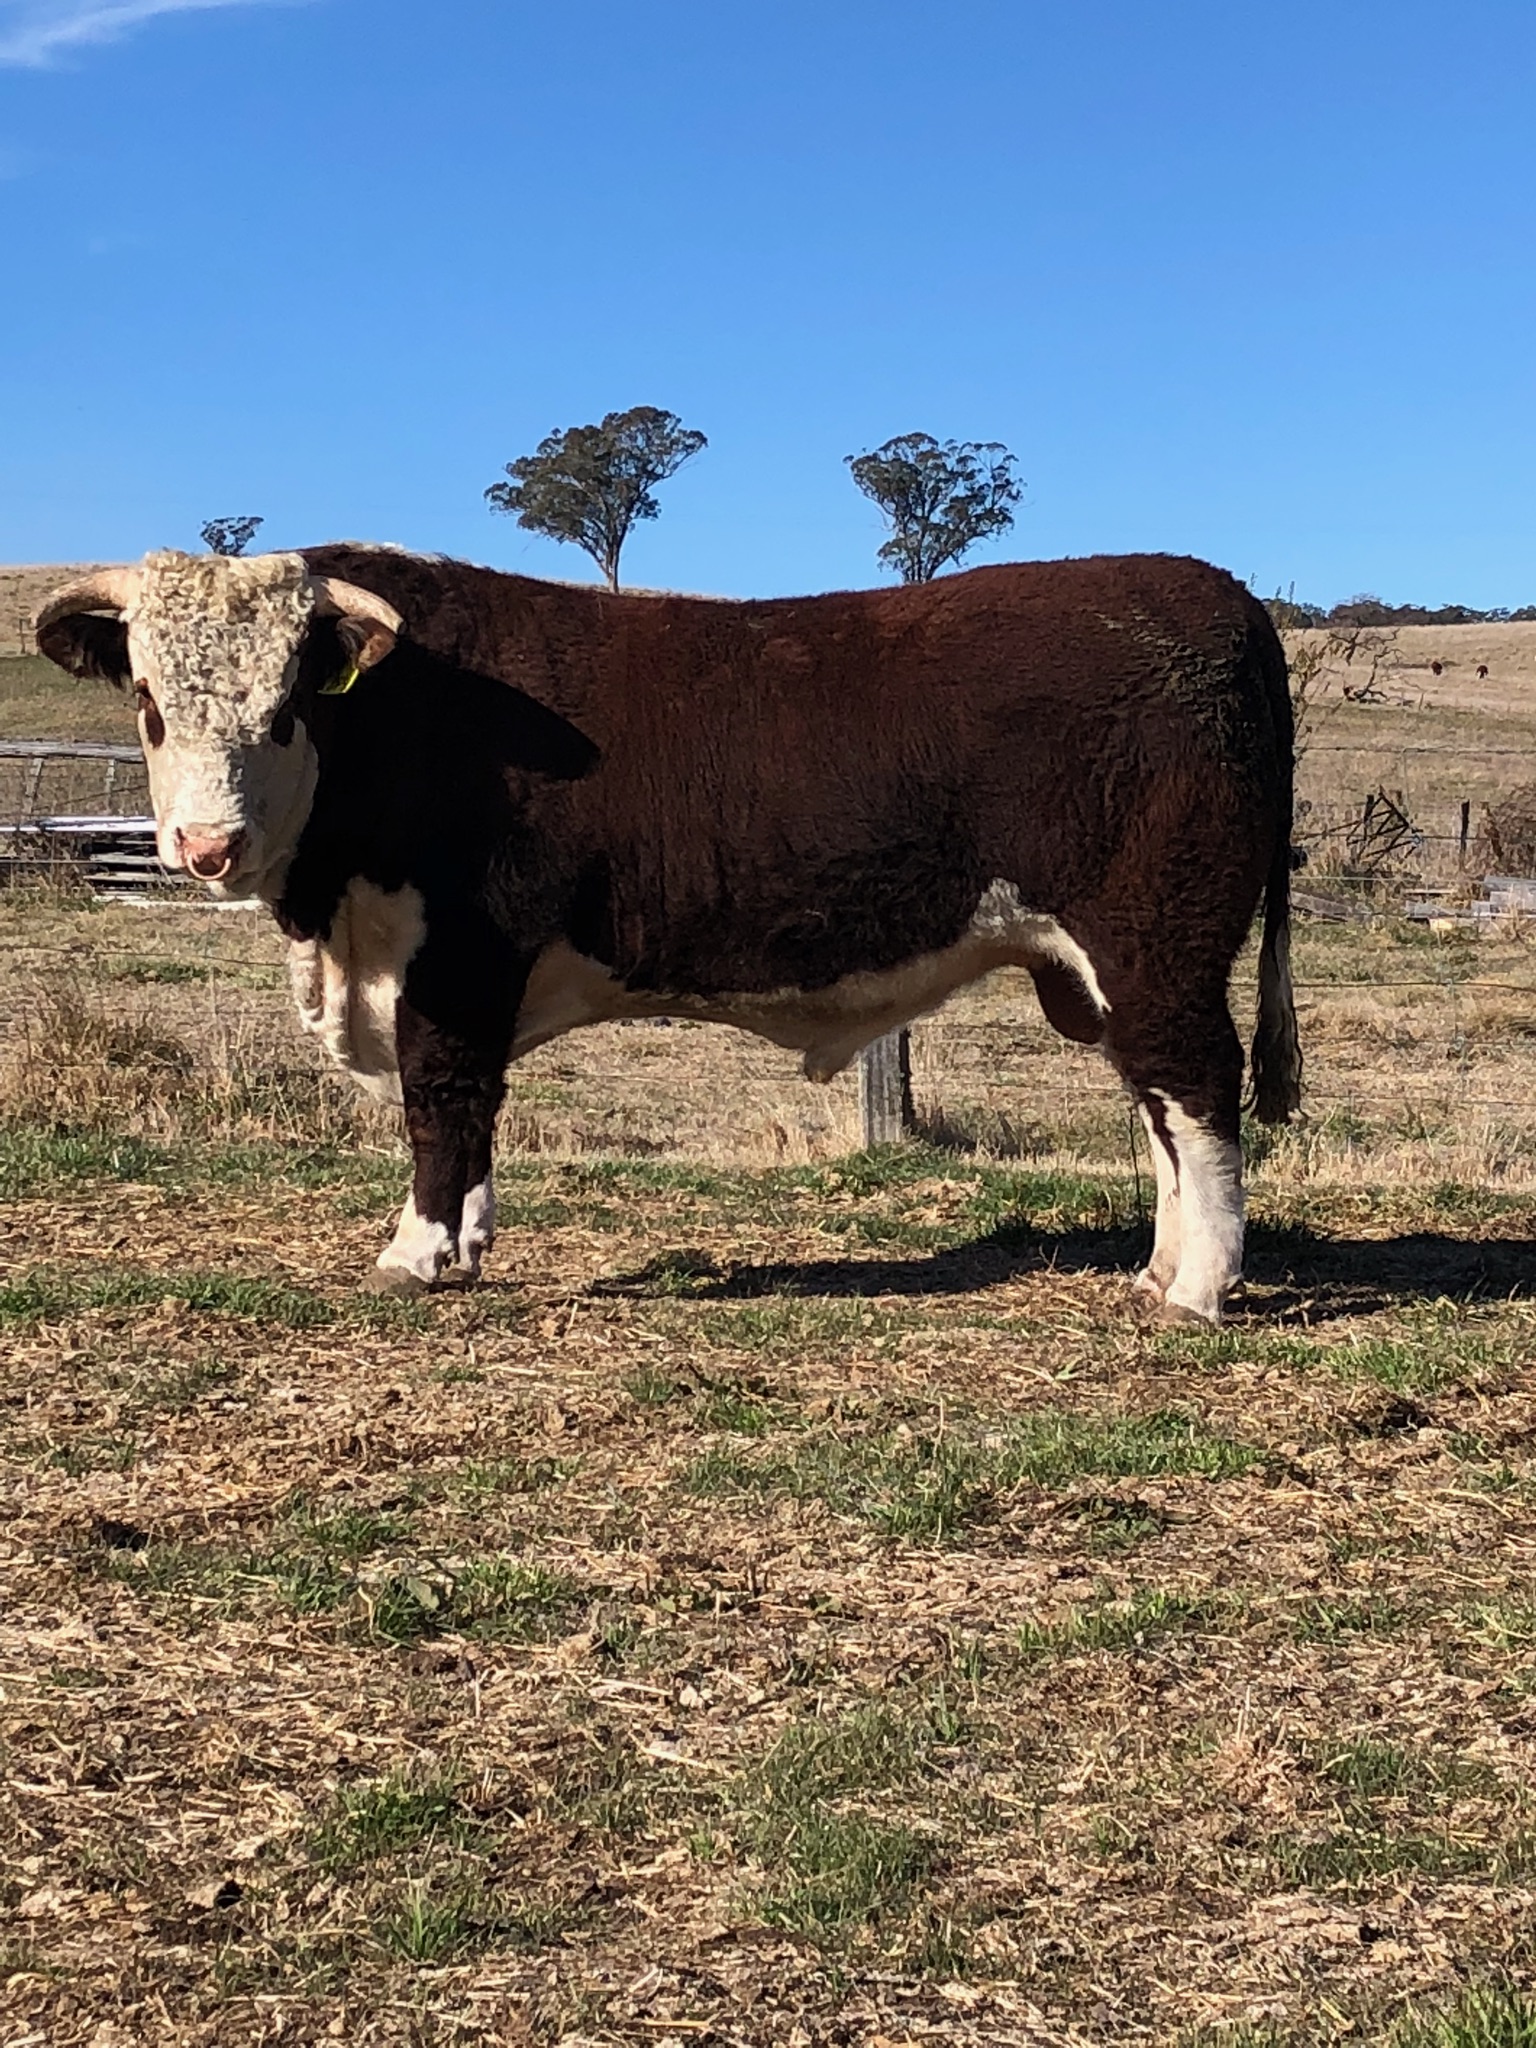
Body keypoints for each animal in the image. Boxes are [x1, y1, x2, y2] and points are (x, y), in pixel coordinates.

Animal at [36, 546, 1300, 1325]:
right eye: (148, 702)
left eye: (291, 702)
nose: (206, 844)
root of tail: (1214, 591)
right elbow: (476, 1113)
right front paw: (469, 1242)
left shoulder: (456, 956)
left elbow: (442, 1097)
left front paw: (417, 1253)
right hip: (1112, 964)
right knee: (1162, 1106)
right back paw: (1156, 1268)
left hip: (1156, 938)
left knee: (1196, 1089)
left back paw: (1198, 1289)